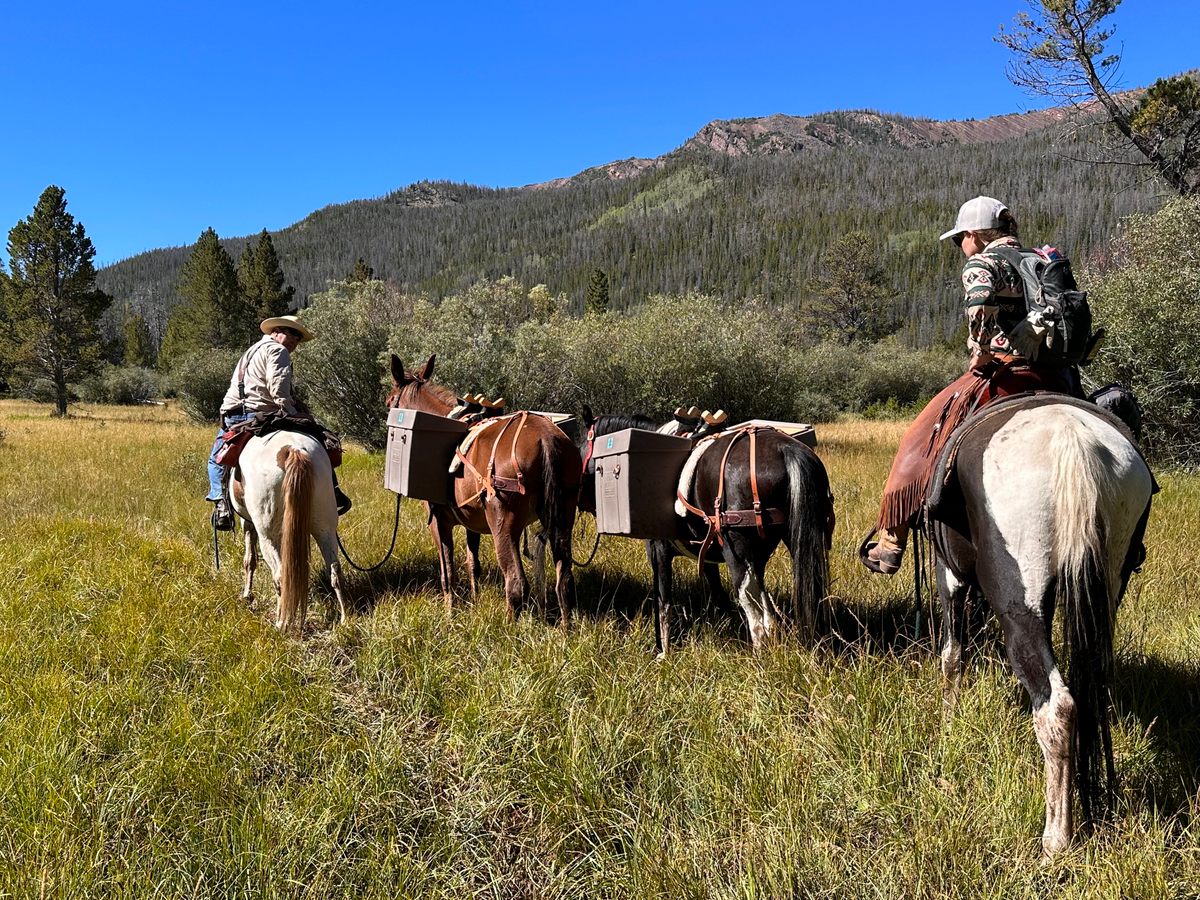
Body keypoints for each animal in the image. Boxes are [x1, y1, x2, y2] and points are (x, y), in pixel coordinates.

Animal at [230, 429, 350, 633]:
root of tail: (294, 449)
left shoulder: (247, 523)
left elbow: (249, 560)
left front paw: (247, 595)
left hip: (268, 536)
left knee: (280, 576)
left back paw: (281, 623)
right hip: (325, 528)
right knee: (335, 570)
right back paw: (344, 619)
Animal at [386, 355, 578, 624]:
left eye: (390, 401)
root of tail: (546, 440)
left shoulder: (439, 523)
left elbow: (448, 572)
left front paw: (450, 614)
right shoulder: (472, 523)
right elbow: (472, 564)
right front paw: (475, 601)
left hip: (504, 525)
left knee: (516, 584)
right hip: (563, 519)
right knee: (565, 582)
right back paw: (565, 628)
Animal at [576, 410, 830, 657]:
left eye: (582, 448)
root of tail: (785, 448)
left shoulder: (659, 551)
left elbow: (663, 601)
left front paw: (663, 651)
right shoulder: (708, 555)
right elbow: (718, 595)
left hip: (739, 554)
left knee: (756, 614)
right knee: (773, 612)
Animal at [926, 400, 1152, 859]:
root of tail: (1072, 439)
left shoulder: (949, 576)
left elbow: (952, 659)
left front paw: (949, 723)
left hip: (1022, 609)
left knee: (1056, 707)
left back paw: (1057, 839)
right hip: (1107, 591)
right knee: (1090, 690)